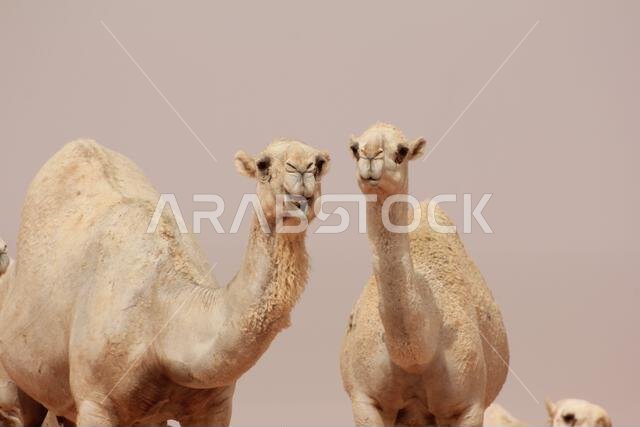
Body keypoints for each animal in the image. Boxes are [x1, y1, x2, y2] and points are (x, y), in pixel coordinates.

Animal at [0, 138, 330, 426]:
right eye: (263, 164)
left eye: (319, 164)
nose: (302, 167)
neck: (162, 318)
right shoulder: (96, 402)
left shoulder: (214, 406)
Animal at [340, 123, 509, 426]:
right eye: (355, 148)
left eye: (402, 151)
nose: (370, 155)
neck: (417, 355)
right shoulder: (364, 399)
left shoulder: (469, 405)